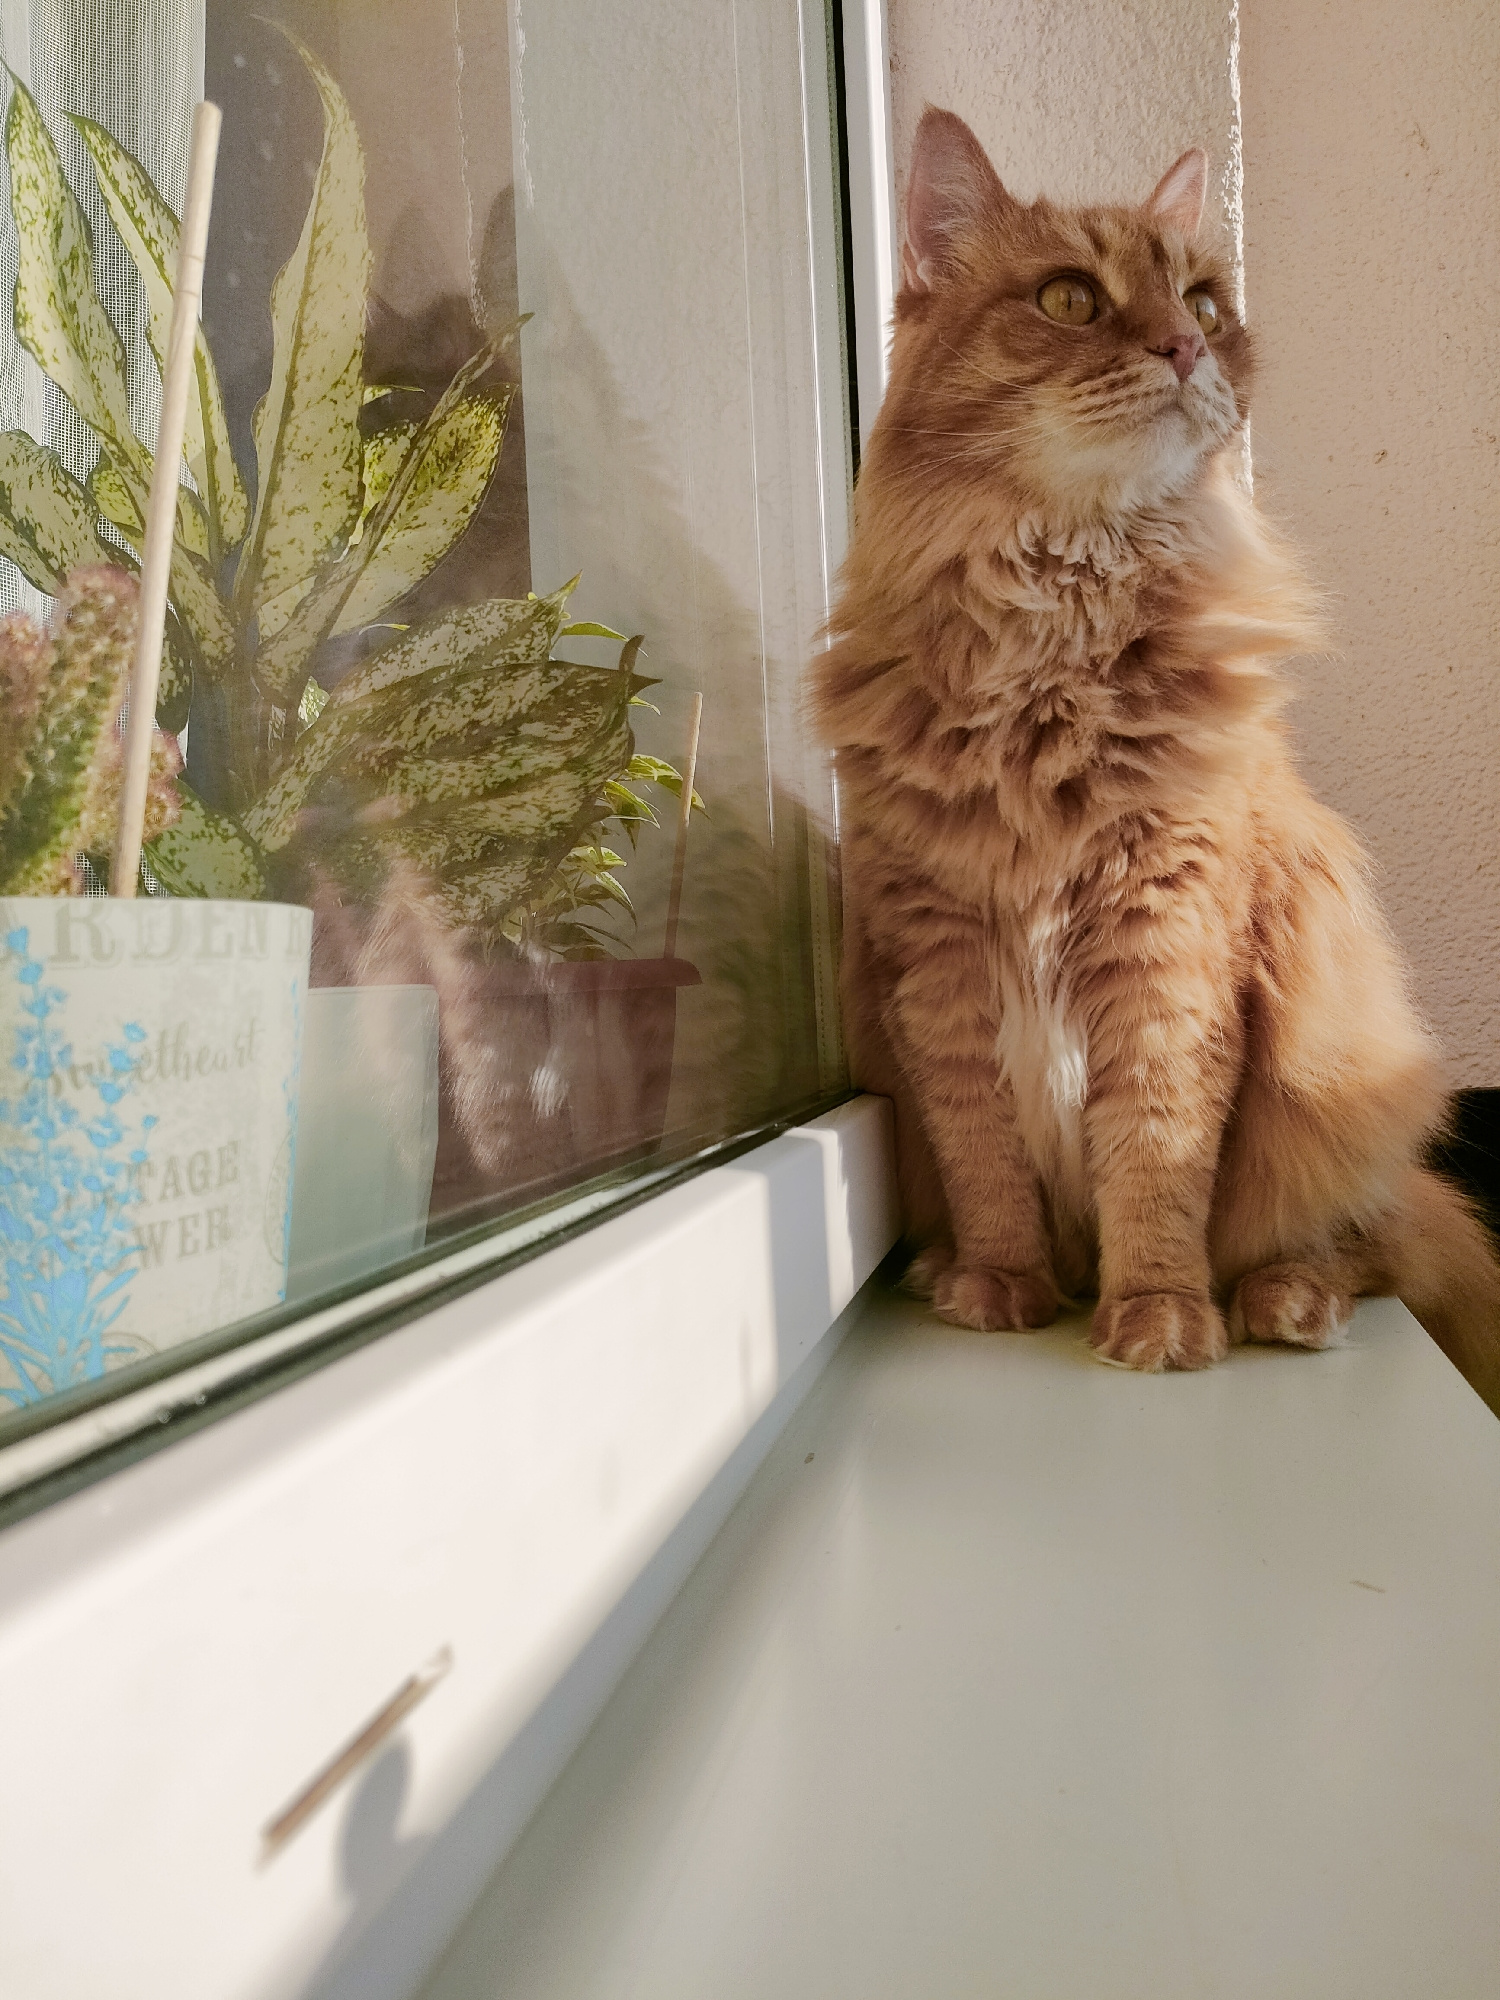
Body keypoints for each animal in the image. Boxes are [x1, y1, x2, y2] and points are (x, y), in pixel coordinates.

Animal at [812, 106, 1500, 1405]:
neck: (1053, 637)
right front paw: (1001, 1283)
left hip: (1339, 1061)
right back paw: (941, 1265)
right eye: (1071, 299)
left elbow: (1156, 1148)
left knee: (1365, 1239)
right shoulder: (939, 959)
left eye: (1203, 300)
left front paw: (1160, 1312)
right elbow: (984, 1155)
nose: (1186, 347)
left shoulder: (1170, 933)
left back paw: (1286, 1297)